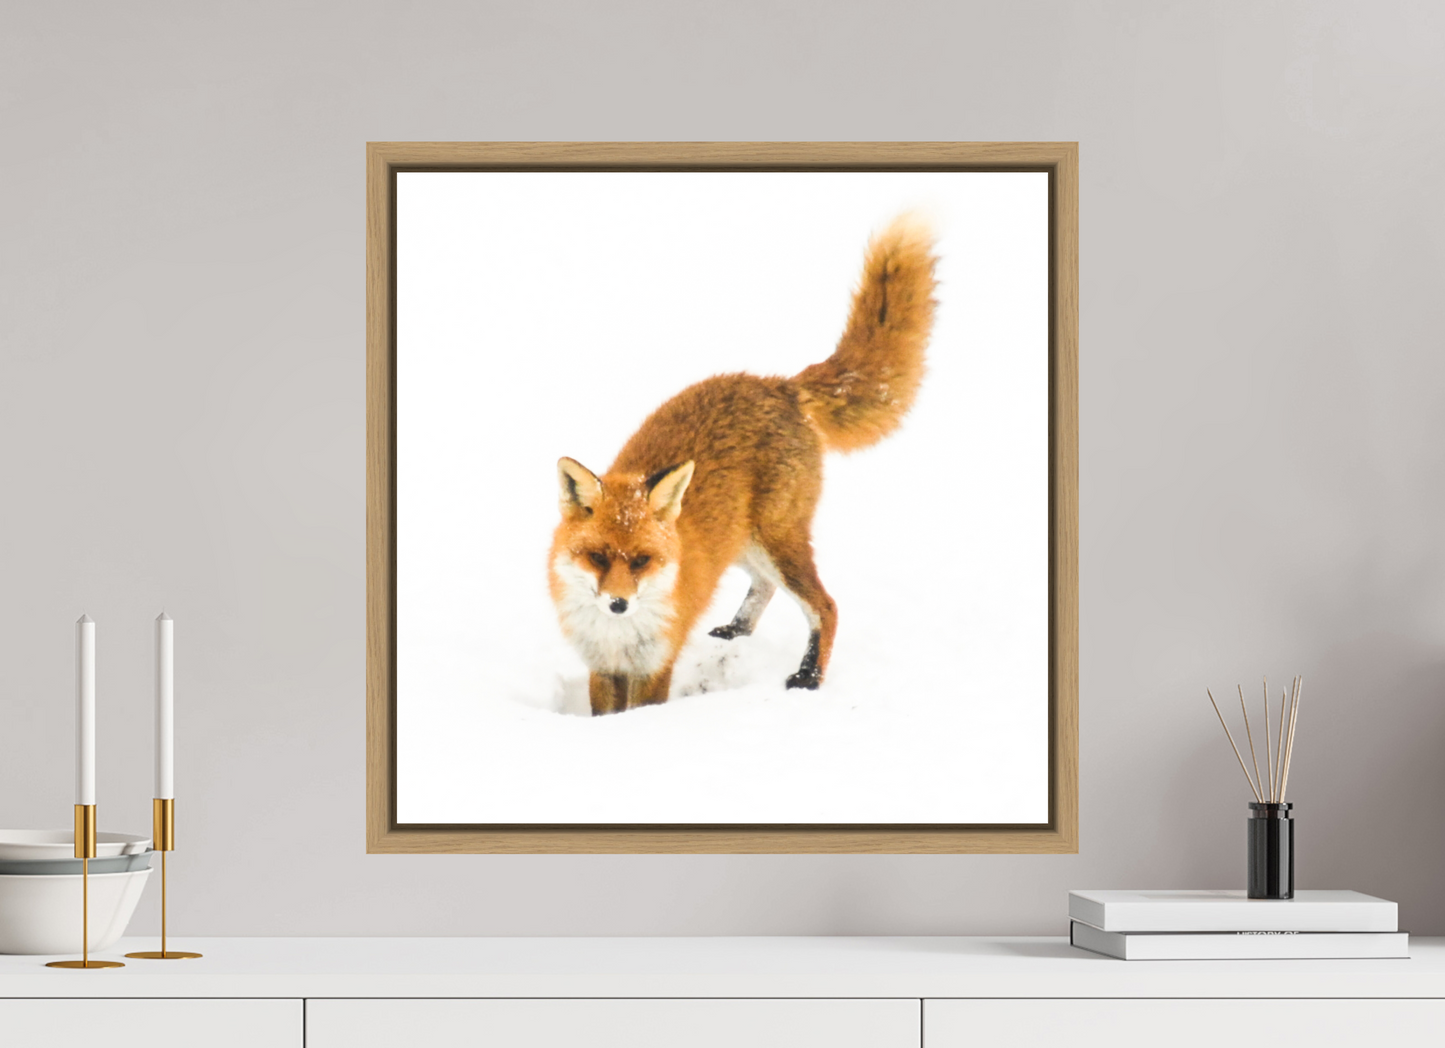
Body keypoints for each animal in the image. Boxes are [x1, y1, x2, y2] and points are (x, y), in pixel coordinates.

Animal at [549, 215, 937, 716]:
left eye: (641, 561)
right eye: (597, 557)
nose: (618, 603)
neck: (620, 632)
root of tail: (781, 385)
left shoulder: (657, 664)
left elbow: (644, 709)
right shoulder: (602, 665)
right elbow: (605, 710)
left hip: (777, 540)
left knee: (826, 606)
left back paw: (808, 677)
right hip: (743, 543)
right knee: (765, 587)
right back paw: (735, 631)